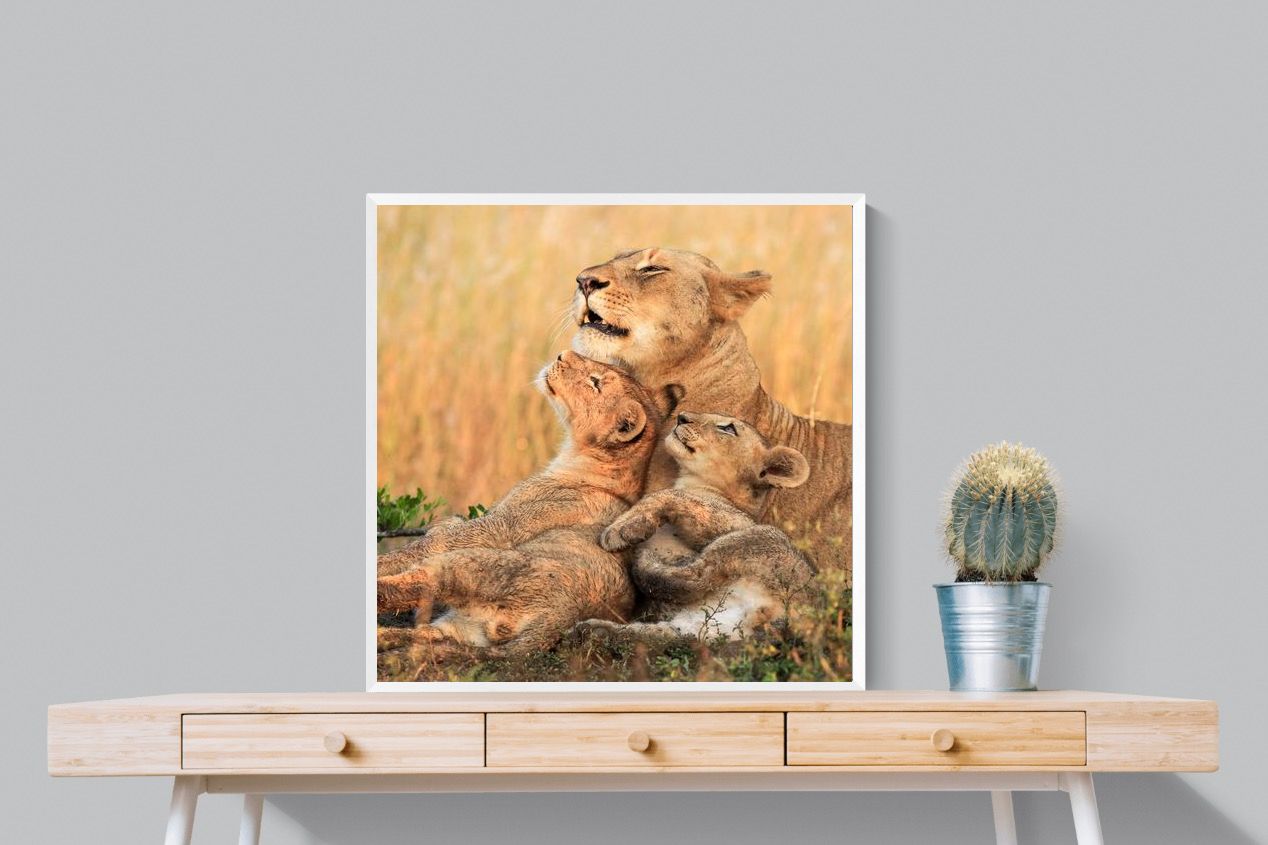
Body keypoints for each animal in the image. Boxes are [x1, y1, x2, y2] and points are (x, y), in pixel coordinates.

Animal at [376, 351, 683, 657]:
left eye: (595, 382)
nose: (562, 354)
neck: (578, 457)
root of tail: (556, 620)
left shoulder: (499, 526)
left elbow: (426, 544)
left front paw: (387, 559)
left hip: (470, 564)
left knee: (407, 587)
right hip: (462, 629)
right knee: (425, 637)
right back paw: (383, 637)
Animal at [578, 411, 816, 642]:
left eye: (728, 428)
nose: (681, 417)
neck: (694, 482)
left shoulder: (732, 521)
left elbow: (669, 495)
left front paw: (621, 530)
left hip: (757, 538)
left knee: (696, 575)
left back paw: (645, 562)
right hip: (701, 627)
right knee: (661, 634)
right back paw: (593, 631)